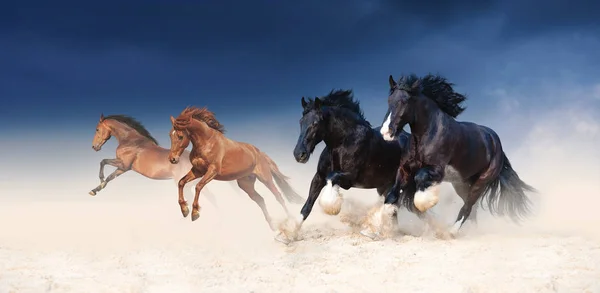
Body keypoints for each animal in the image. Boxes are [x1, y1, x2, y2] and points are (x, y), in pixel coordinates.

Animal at [90, 113, 233, 206]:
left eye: (97, 129)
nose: (94, 147)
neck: (132, 141)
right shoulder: (123, 168)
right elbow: (110, 176)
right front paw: (95, 190)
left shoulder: (124, 164)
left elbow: (103, 161)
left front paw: (100, 181)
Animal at [166, 106, 302, 227]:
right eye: (170, 135)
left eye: (180, 136)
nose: (172, 159)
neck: (207, 142)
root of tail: (260, 153)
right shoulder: (197, 171)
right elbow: (181, 182)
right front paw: (184, 210)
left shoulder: (212, 171)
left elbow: (198, 186)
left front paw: (195, 213)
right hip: (246, 184)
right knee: (260, 199)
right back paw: (272, 225)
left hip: (265, 179)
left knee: (278, 196)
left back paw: (292, 222)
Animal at [274, 89, 410, 244]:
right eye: (301, 121)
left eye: (315, 123)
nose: (299, 154)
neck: (343, 142)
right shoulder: (318, 177)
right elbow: (307, 206)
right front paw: (286, 235)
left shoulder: (349, 177)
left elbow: (332, 178)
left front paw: (331, 207)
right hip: (384, 186)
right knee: (392, 207)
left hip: (400, 181)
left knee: (391, 201)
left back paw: (371, 231)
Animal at [380, 73, 536, 237]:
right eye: (389, 100)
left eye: (404, 101)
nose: (386, 132)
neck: (429, 134)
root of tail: (495, 142)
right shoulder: (405, 169)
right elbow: (392, 196)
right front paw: (384, 222)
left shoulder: (437, 170)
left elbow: (420, 177)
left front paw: (425, 201)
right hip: (461, 184)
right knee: (472, 210)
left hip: (481, 181)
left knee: (467, 207)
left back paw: (452, 231)